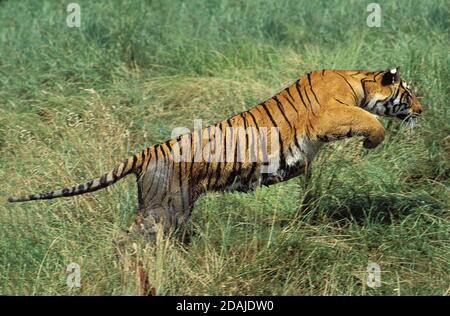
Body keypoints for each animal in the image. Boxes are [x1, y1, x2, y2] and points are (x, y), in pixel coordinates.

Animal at [6, 66, 422, 236]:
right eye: (409, 94)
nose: (422, 110)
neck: (358, 81)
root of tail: (146, 152)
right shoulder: (329, 116)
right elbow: (371, 121)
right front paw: (371, 142)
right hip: (163, 210)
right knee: (129, 241)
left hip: (172, 207)